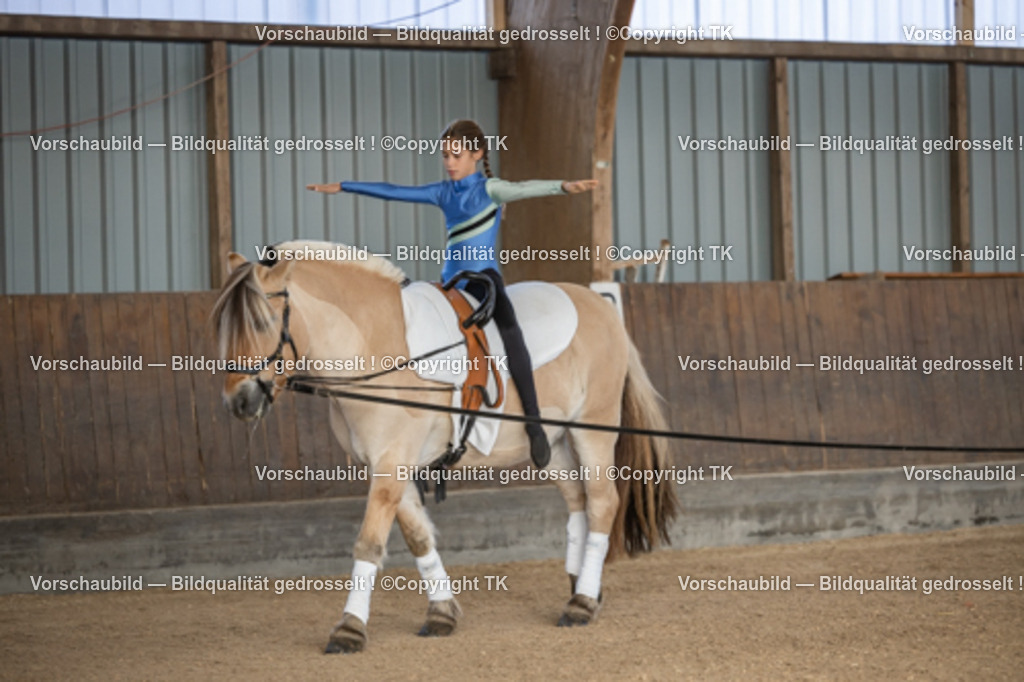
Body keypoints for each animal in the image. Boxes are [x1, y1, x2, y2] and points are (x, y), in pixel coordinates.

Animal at [213, 240, 677, 653]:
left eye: (260, 323)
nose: (239, 401)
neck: (375, 347)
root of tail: (601, 307)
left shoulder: (391, 463)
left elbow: (369, 542)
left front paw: (349, 629)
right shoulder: (386, 466)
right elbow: (419, 537)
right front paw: (441, 613)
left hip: (592, 429)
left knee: (601, 502)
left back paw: (581, 602)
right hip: (553, 445)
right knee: (579, 501)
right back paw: (582, 586)